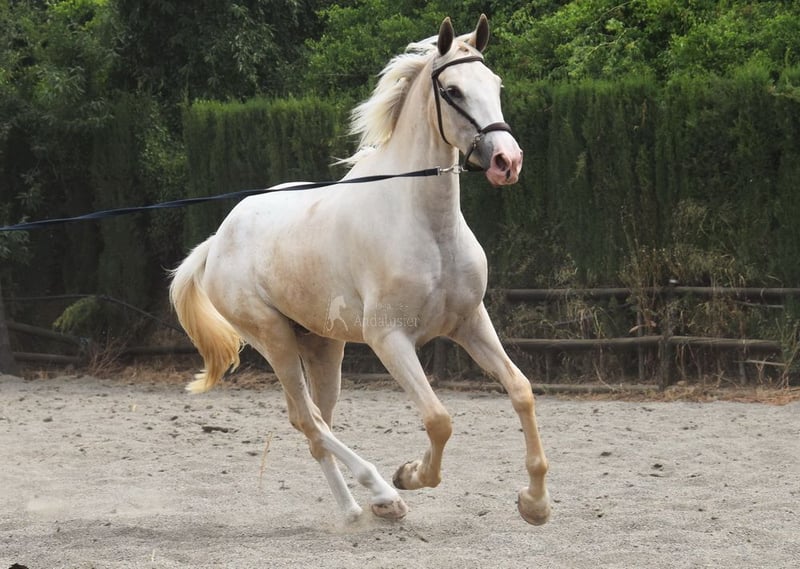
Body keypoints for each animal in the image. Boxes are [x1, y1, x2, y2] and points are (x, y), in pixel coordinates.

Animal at [170, 14, 551, 526]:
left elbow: (521, 390)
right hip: (274, 339)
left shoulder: (470, 322)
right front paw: (410, 474)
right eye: (452, 90)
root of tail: (217, 242)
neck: (427, 227)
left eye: (496, 84)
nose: (508, 161)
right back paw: (380, 491)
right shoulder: (389, 338)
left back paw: (358, 509)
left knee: (316, 424)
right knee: (307, 419)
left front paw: (534, 504)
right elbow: (438, 419)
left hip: (323, 345)